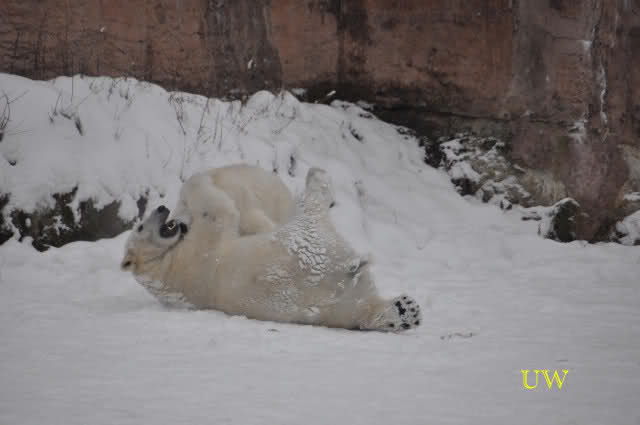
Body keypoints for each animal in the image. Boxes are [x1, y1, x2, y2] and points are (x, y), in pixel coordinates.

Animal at [121, 167, 422, 332]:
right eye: (140, 226)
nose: (161, 208)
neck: (162, 268)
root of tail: (339, 279)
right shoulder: (199, 248)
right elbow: (220, 212)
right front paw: (201, 179)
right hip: (307, 243)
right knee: (310, 209)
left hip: (336, 309)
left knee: (361, 310)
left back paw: (405, 311)